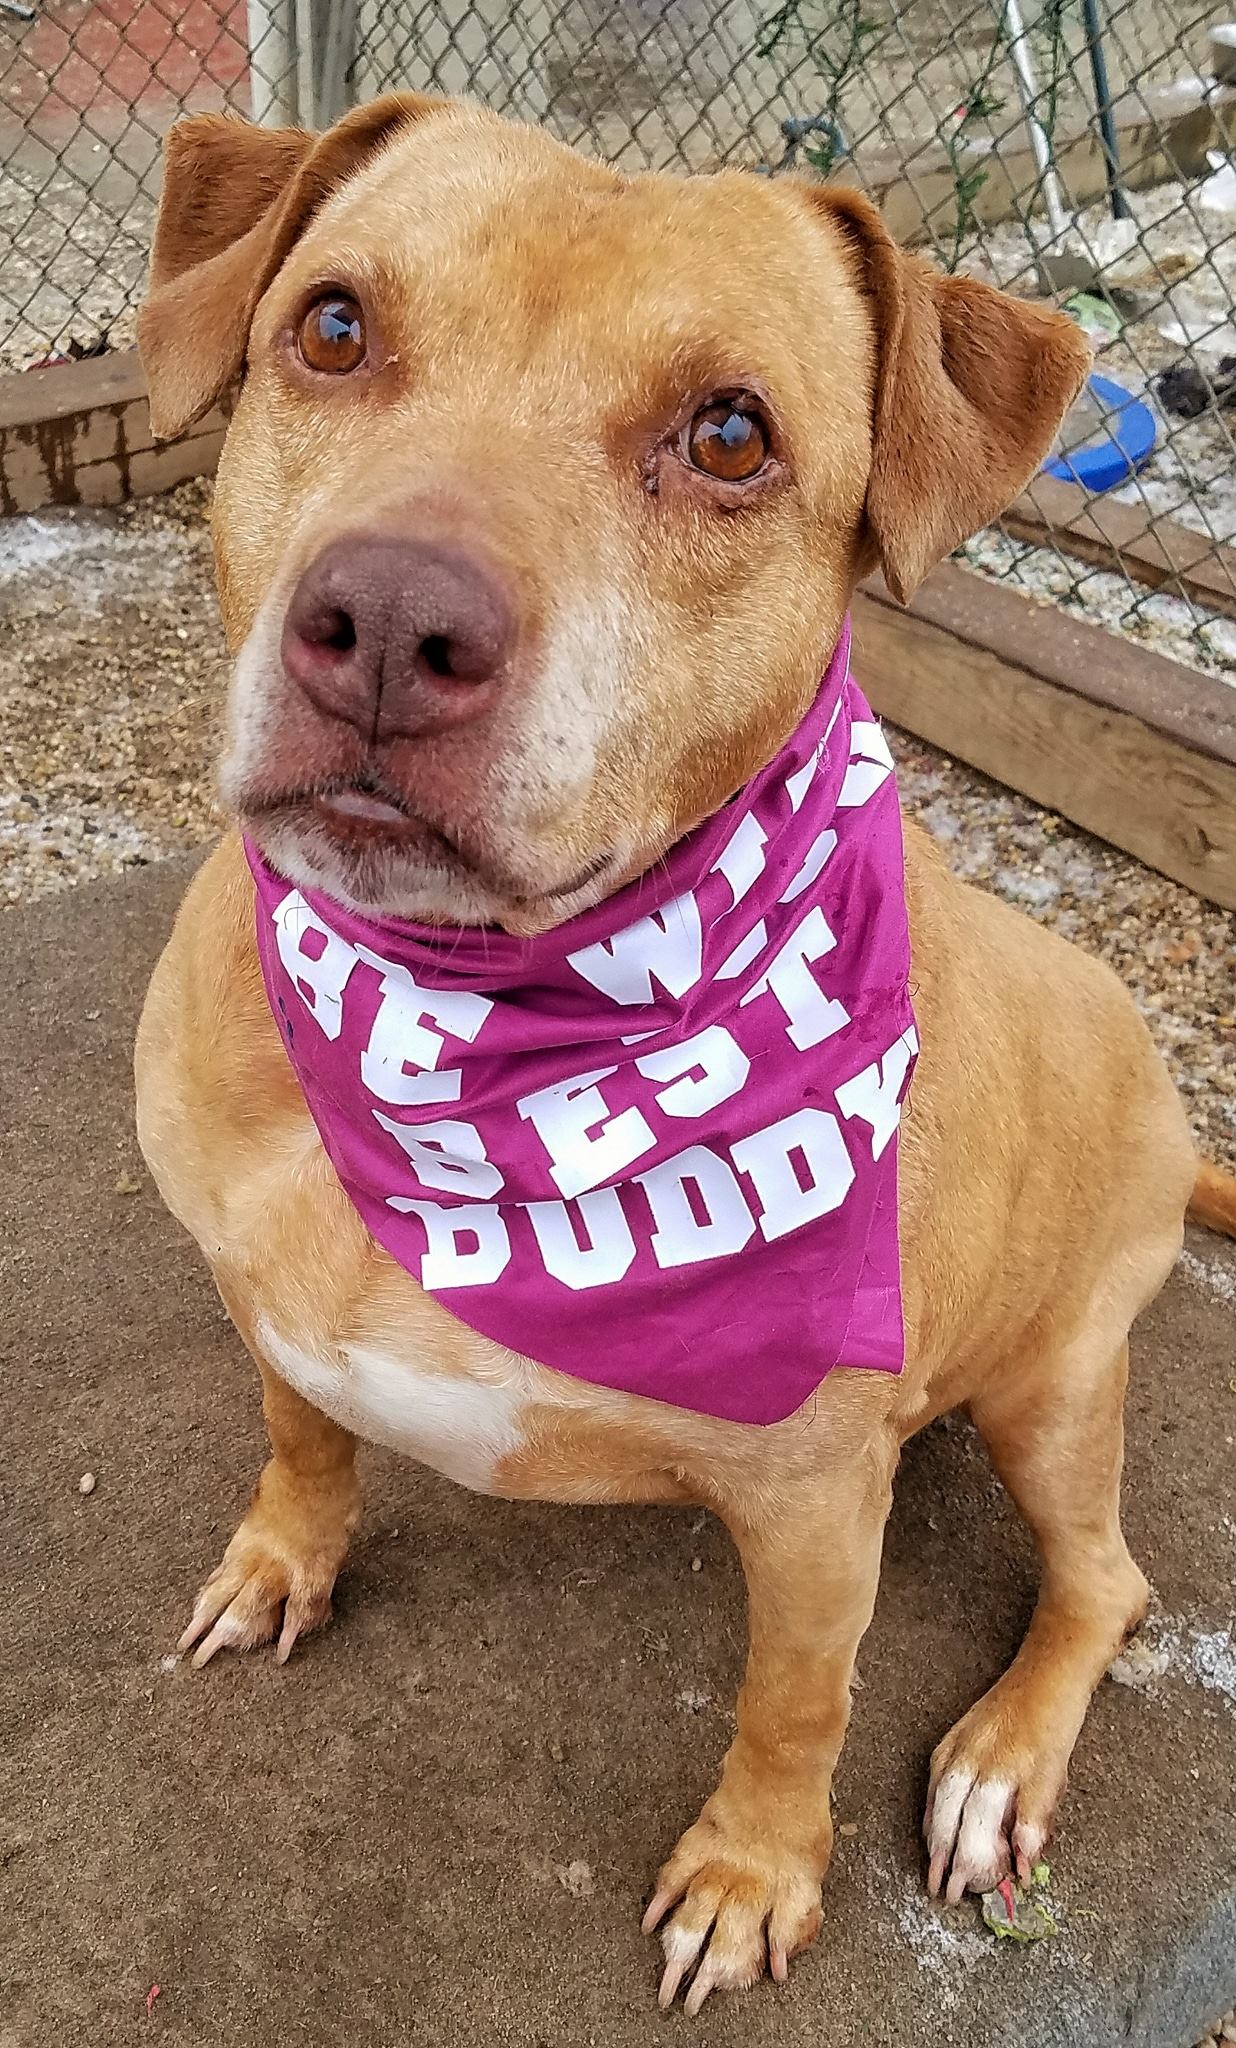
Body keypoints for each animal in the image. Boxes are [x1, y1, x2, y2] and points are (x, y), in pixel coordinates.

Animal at [133, 96, 1236, 2015]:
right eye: (333, 326)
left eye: (729, 435)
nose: (392, 622)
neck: (476, 1028)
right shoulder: (254, 1293)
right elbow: (301, 1435)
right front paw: (281, 1561)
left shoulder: (811, 1509)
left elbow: (793, 1706)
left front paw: (750, 1872)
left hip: (1052, 1379)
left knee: (1105, 1582)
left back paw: (998, 1759)